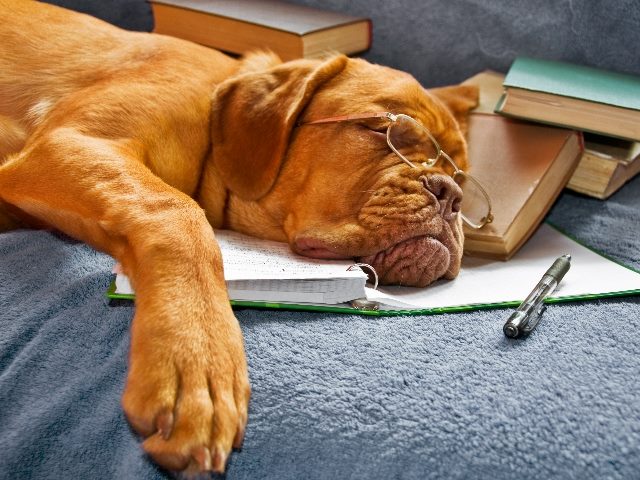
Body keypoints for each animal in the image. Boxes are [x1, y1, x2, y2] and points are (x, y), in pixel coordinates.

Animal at [1, 0, 480, 472]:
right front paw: (196, 355)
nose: (450, 192)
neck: (215, 121)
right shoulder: (70, 144)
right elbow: (178, 213)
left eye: (462, 174)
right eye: (386, 131)